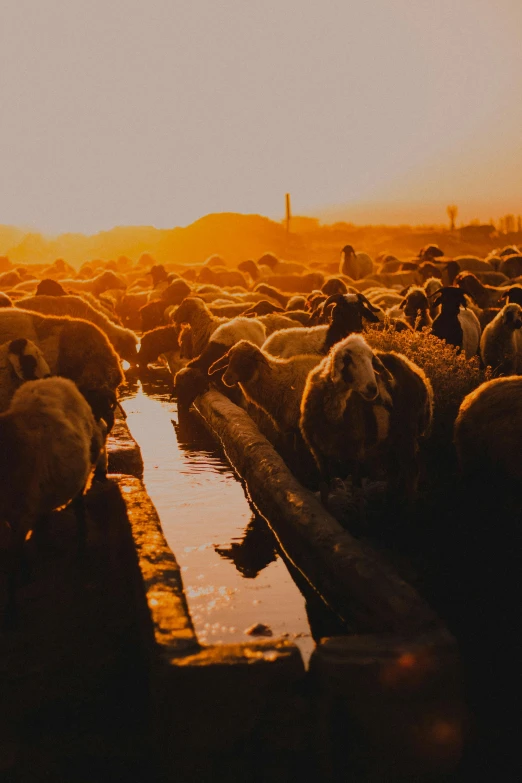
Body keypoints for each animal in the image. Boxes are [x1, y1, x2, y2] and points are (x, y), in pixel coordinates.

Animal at [296, 334, 430, 506]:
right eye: (348, 359)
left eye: (371, 360)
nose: (373, 389)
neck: (334, 415)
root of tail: (418, 372)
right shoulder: (319, 453)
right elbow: (324, 489)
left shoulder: (356, 453)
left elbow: (357, 493)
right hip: (389, 439)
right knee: (394, 471)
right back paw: (389, 498)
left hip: (407, 434)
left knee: (412, 471)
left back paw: (409, 504)